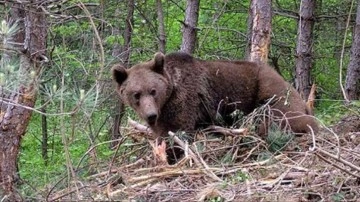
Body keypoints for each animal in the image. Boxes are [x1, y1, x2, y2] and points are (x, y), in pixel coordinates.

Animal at [112, 51, 318, 137]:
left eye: (153, 91)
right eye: (136, 94)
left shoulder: (186, 100)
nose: (150, 115)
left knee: (281, 118)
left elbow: (179, 130)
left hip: (270, 92)